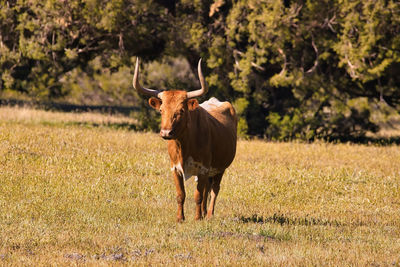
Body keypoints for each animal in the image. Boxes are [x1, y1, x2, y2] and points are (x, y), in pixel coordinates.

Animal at [133, 58, 236, 222]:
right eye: (161, 110)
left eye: (181, 110)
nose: (166, 132)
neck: (184, 145)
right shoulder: (175, 168)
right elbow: (181, 194)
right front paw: (180, 218)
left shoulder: (203, 168)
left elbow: (198, 195)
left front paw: (197, 218)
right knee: (208, 189)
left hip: (220, 168)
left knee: (214, 190)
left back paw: (208, 214)